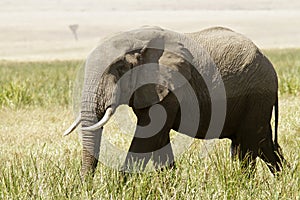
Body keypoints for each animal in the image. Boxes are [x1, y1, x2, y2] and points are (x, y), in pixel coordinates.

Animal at [63, 25, 286, 177]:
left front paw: (120, 189)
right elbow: (158, 140)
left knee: (249, 143)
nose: (86, 186)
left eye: (119, 68)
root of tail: (269, 63)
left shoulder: (169, 89)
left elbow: (147, 138)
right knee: (261, 142)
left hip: (257, 94)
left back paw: (245, 182)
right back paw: (282, 180)